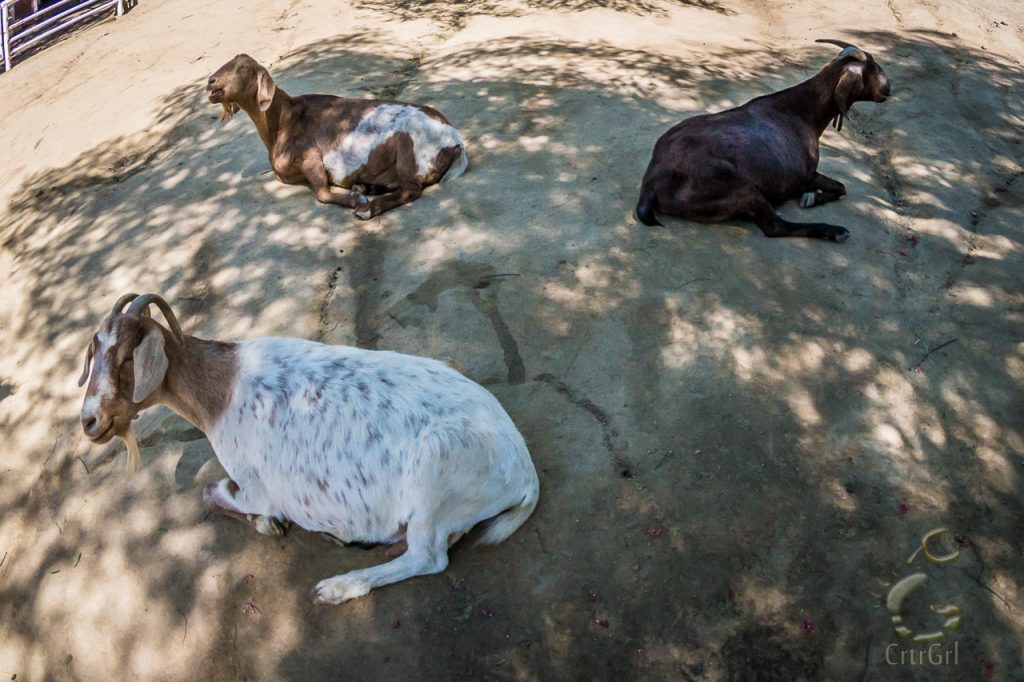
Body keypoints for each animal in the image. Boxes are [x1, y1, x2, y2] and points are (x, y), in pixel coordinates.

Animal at [78, 292, 540, 602]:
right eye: (94, 352)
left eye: (127, 359)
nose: (89, 421)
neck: (218, 391)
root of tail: (525, 472)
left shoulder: (257, 486)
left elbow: (211, 493)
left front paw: (269, 523)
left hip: (437, 470)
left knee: (429, 556)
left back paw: (339, 586)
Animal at [208, 54, 471, 218]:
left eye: (242, 67)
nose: (211, 82)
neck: (284, 121)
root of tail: (456, 142)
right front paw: (359, 194)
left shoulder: (312, 158)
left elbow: (322, 194)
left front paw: (358, 201)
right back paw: (367, 187)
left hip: (410, 146)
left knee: (411, 189)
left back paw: (367, 207)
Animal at [634, 39, 892, 241]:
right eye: (873, 67)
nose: (888, 88)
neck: (801, 112)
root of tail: (651, 184)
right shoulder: (805, 176)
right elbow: (841, 187)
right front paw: (813, 197)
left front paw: (812, 197)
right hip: (742, 189)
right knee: (775, 227)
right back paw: (833, 231)